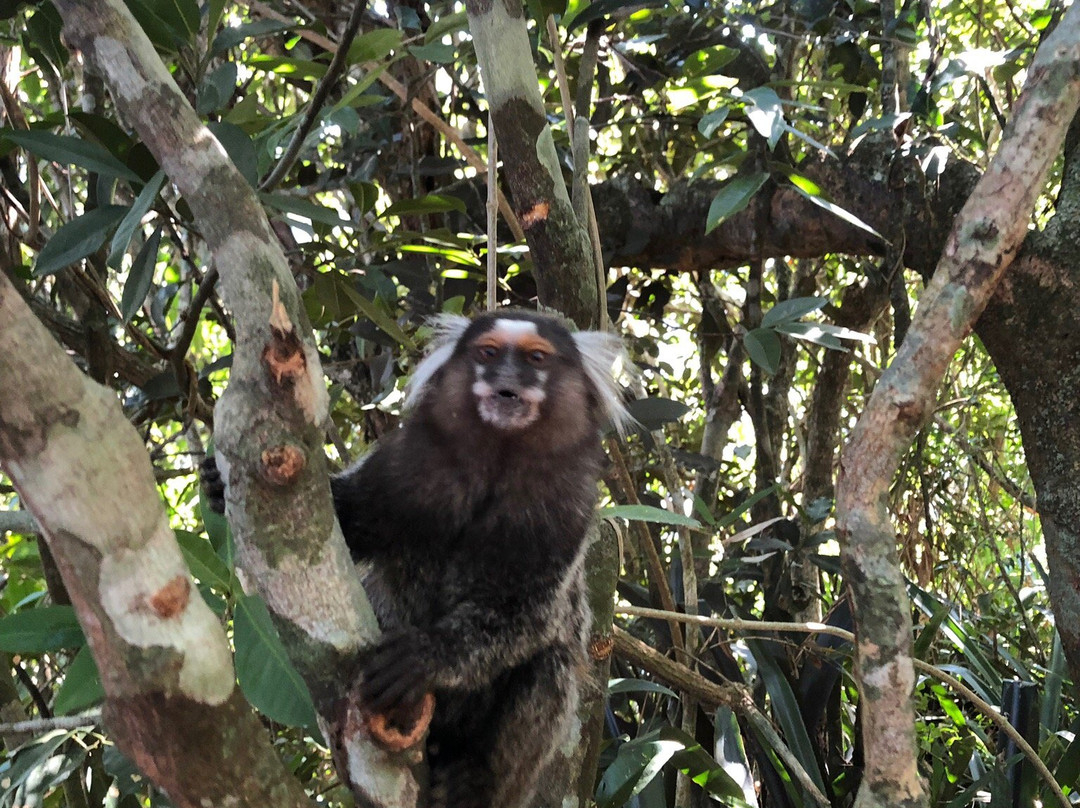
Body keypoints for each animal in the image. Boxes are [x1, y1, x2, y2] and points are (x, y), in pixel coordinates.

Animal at [206, 308, 630, 808]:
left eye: (535, 358)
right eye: (489, 353)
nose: (507, 378)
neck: (499, 459)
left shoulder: (570, 508)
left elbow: (526, 614)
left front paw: (426, 657)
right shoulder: (407, 463)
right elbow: (351, 525)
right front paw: (218, 485)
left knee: (553, 665)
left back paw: (473, 777)